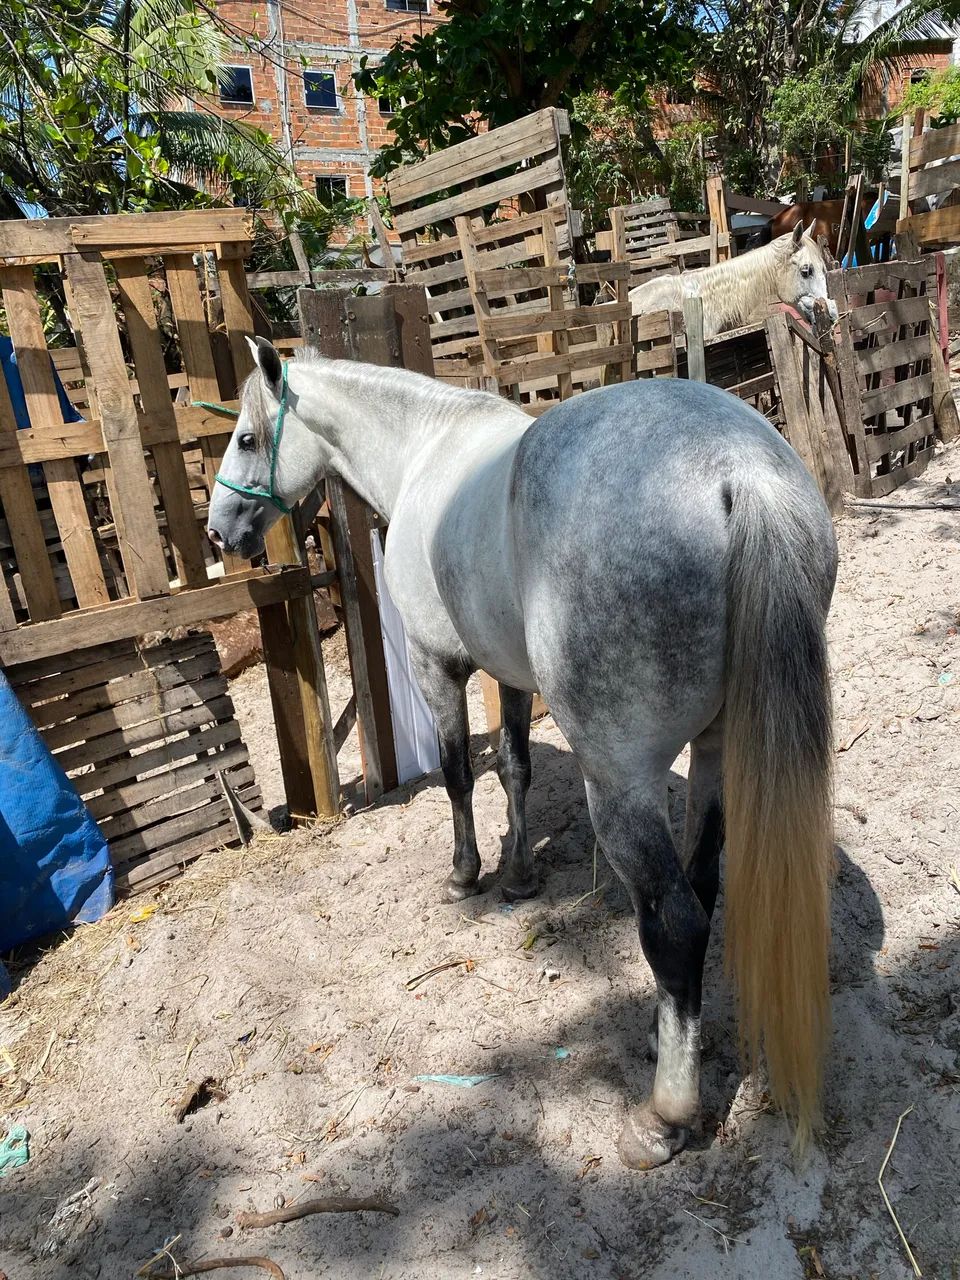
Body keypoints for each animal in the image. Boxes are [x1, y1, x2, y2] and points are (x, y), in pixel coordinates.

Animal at [208, 341, 838, 1169]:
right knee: (702, 889)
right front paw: (518, 874)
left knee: (674, 922)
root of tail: (738, 471)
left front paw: (465, 874)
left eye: (248, 438)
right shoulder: (505, 675)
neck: (425, 447)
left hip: (622, 783)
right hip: (716, 755)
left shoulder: (438, 666)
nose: (220, 531)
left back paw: (663, 1117)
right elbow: (513, 766)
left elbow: (455, 775)